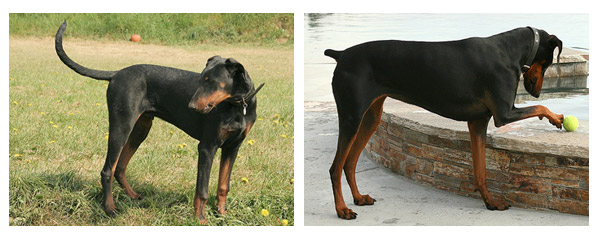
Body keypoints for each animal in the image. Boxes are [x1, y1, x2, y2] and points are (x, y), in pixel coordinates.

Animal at [55, 21, 262, 223]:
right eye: (201, 79)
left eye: (211, 82)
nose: (190, 106)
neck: (238, 106)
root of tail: (116, 74)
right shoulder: (207, 147)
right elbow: (201, 190)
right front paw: (200, 219)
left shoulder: (233, 147)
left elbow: (223, 186)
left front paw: (222, 214)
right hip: (121, 127)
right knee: (108, 170)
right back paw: (110, 208)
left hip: (141, 129)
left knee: (120, 167)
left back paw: (133, 195)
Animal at [324, 26, 564, 220]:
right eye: (548, 64)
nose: (537, 92)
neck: (508, 51)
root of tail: (342, 54)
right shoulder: (504, 114)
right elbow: (540, 108)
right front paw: (556, 117)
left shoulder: (478, 123)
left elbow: (480, 172)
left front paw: (490, 202)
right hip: (351, 117)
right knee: (335, 167)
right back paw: (342, 209)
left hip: (371, 118)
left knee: (349, 163)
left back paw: (358, 198)